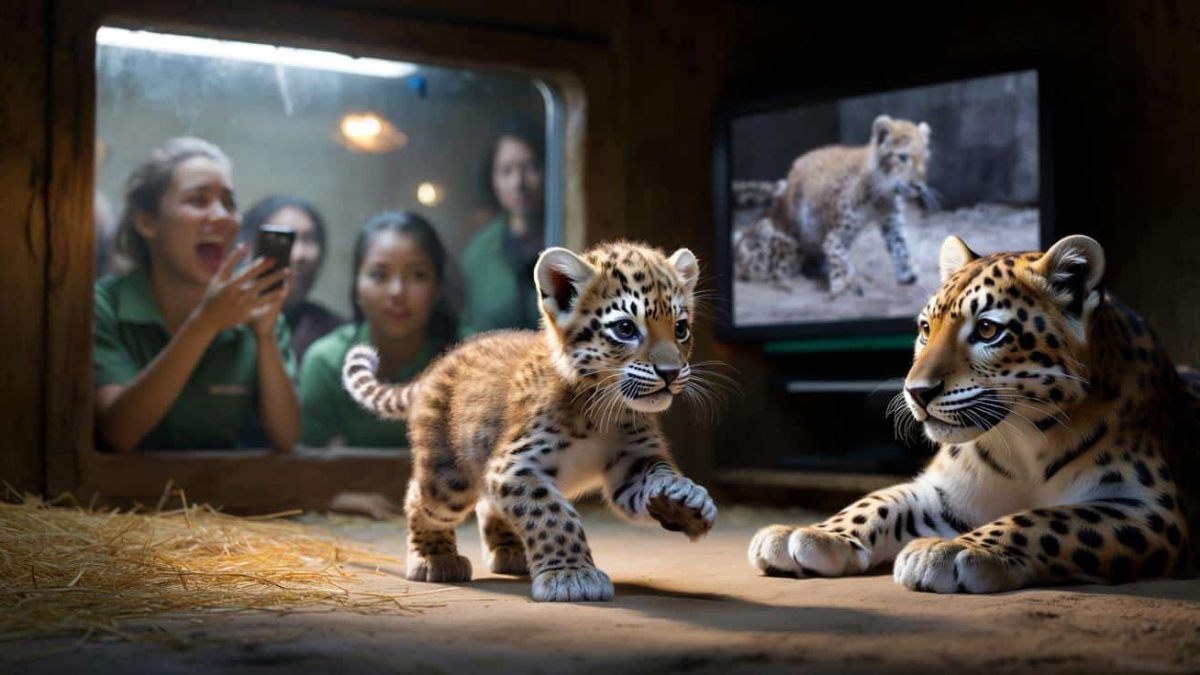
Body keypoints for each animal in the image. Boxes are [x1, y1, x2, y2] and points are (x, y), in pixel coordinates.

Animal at [342, 240, 719, 602]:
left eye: (681, 329)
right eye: (625, 328)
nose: (670, 373)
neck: (604, 411)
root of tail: (438, 365)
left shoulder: (634, 461)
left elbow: (658, 475)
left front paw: (684, 499)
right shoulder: (515, 465)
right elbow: (552, 515)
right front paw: (571, 575)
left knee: (489, 503)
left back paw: (511, 551)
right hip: (449, 480)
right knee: (420, 497)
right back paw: (435, 558)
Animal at [750, 234, 1199, 592]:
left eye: (987, 330)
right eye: (925, 329)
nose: (917, 392)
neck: (1025, 442)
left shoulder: (1148, 507)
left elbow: (1045, 519)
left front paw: (951, 550)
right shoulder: (944, 491)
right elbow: (879, 500)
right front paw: (808, 533)